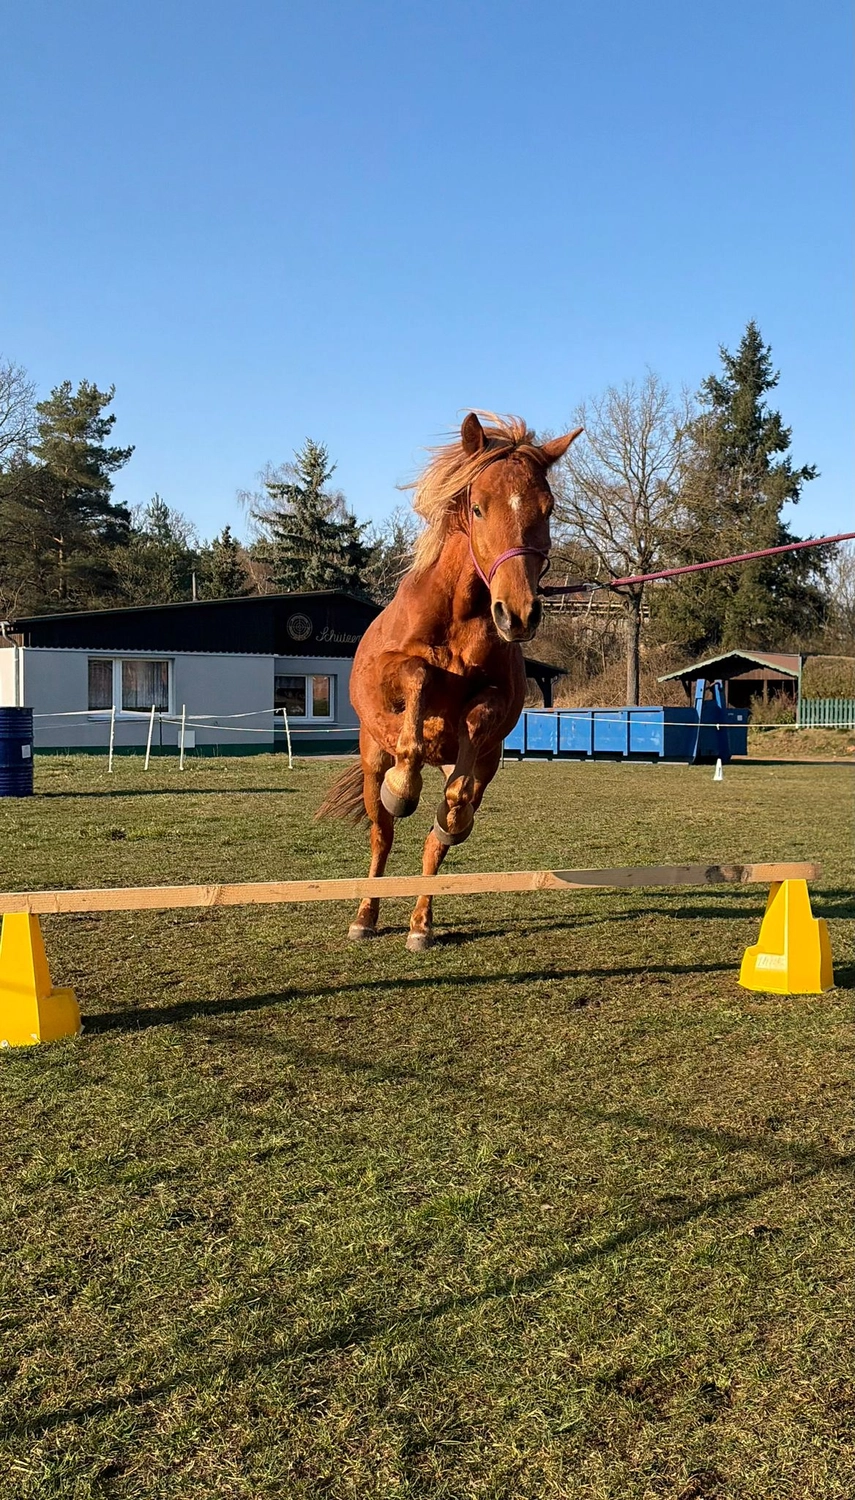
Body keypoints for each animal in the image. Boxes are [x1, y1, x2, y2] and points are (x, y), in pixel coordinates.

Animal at [318, 411, 582, 950]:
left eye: (548, 509)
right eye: (478, 508)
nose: (518, 614)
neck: (459, 615)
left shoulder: (497, 707)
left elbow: (477, 720)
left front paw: (452, 813)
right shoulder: (388, 675)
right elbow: (417, 675)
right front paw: (404, 783)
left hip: (482, 770)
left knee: (435, 844)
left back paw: (422, 921)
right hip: (371, 757)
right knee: (382, 836)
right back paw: (366, 915)